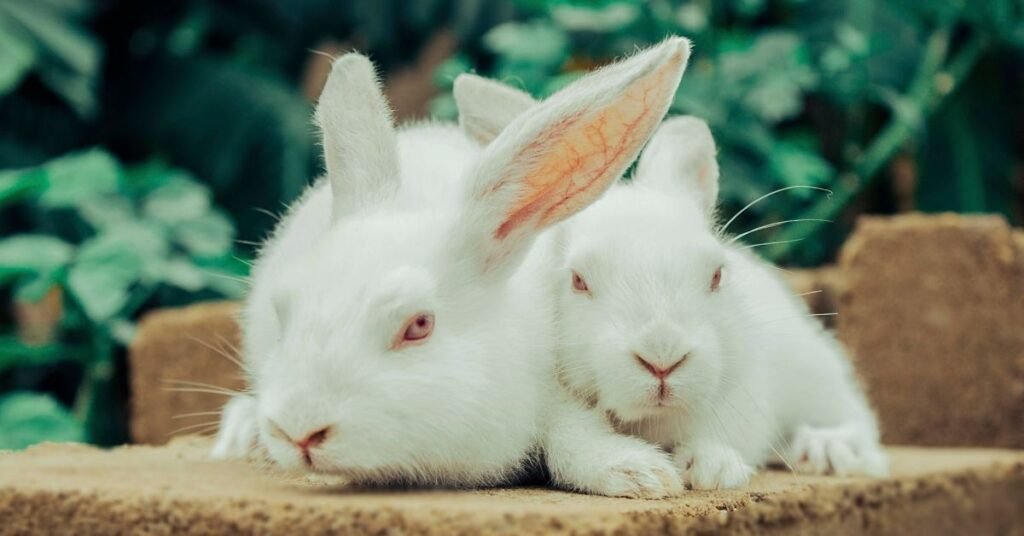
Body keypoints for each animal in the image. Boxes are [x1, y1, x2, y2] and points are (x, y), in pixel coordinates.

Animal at [455, 82, 889, 490]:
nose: (662, 358)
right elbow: (571, 437)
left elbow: (724, 428)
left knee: (859, 421)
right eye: (578, 280)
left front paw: (712, 469)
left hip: (816, 371)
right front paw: (639, 474)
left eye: (716, 275)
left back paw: (827, 451)